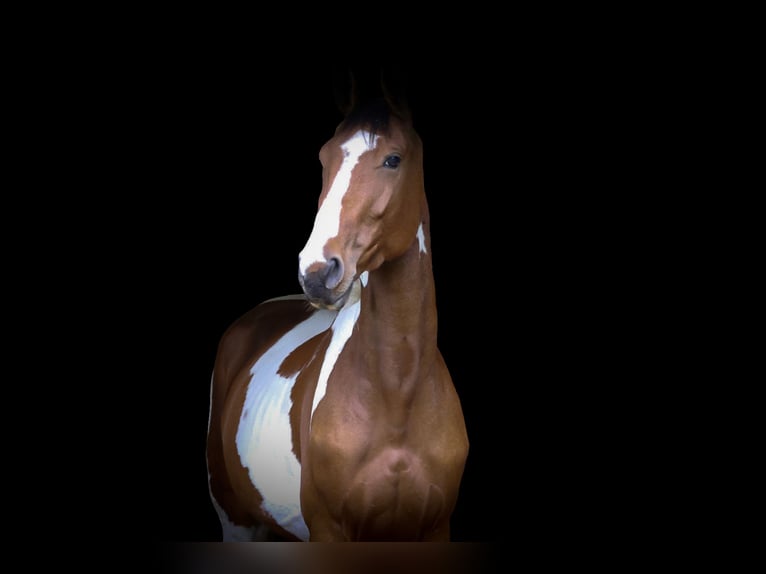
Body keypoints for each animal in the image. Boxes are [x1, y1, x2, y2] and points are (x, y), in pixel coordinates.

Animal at [206, 84, 469, 541]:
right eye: (324, 157)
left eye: (393, 159)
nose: (315, 272)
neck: (398, 394)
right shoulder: (330, 530)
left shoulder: (435, 528)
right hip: (236, 519)